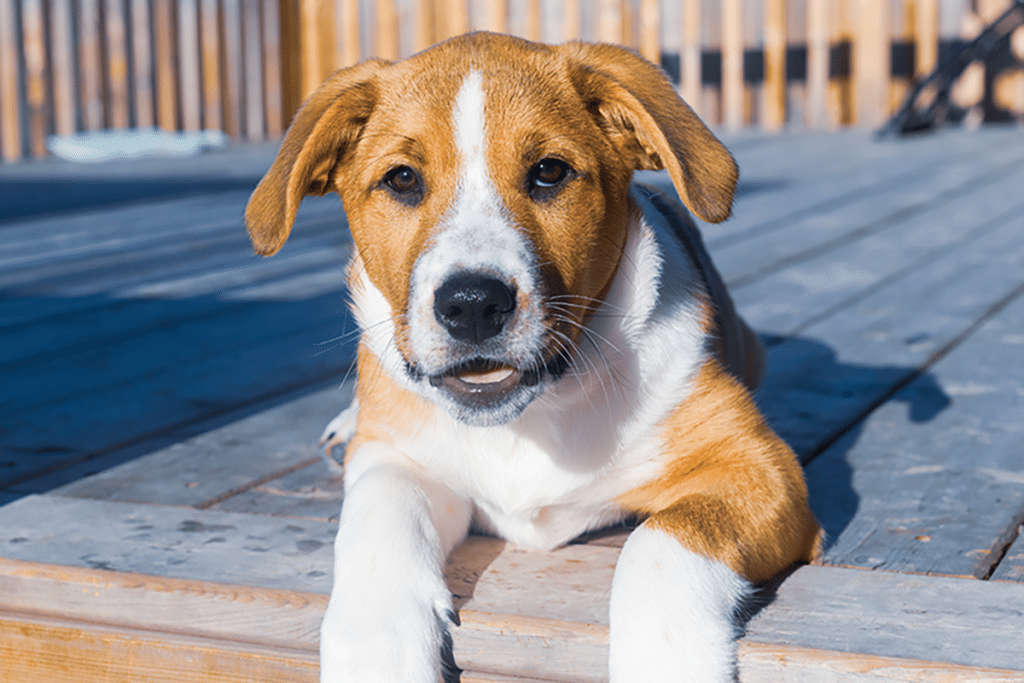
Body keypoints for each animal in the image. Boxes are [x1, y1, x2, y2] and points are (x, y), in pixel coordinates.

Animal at [243, 30, 819, 683]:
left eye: (549, 172)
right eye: (402, 180)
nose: (472, 305)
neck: (530, 419)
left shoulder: (757, 467)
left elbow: (659, 546)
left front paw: (667, 660)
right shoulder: (395, 457)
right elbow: (374, 519)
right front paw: (375, 646)